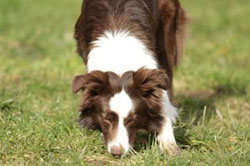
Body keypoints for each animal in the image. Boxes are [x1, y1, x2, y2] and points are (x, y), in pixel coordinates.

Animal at [72, 0, 186, 157]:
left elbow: (162, 99)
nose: (116, 152)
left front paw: (169, 143)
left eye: (132, 120)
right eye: (106, 119)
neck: (119, 58)